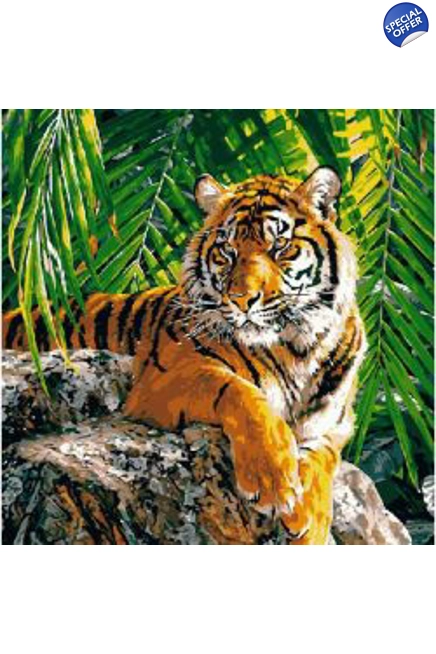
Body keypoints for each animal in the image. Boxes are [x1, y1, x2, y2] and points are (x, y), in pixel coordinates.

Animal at [2, 166, 367, 545]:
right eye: (227, 250)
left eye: (279, 246)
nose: (242, 299)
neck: (297, 345)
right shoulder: (162, 378)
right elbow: (242, 393)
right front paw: (272, 481)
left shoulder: (337, 422)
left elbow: (324, 455)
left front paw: (312, 520)